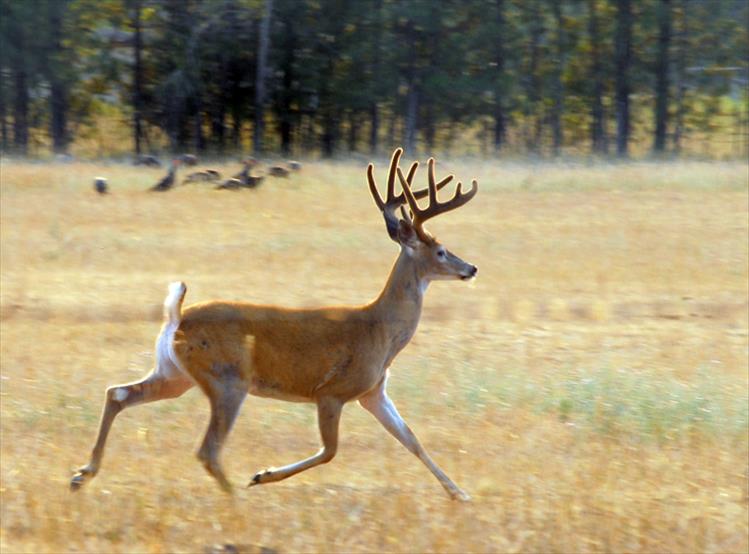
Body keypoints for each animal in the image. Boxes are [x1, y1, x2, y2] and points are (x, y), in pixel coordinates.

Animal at [70, 148, 480, 500]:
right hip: (228, 378)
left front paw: (459, 493)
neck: (379, 330)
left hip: (175, 374)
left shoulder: (372, 391)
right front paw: (261, 475)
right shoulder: (332, 390)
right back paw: (237, 497)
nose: (471, 268)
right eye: (441, 251)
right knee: (207, 449)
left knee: (118, 393)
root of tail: (177, 317)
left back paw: (82, 474)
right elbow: (330, 450)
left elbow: (411, 438)